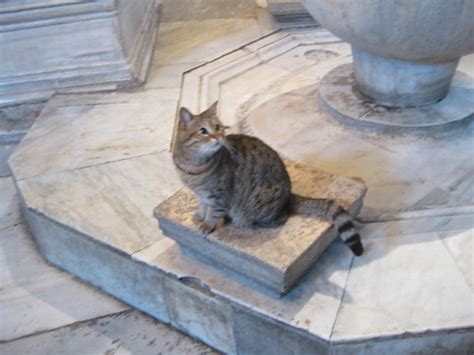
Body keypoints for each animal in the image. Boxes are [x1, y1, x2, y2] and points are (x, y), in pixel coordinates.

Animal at [173, 102, 362, 256]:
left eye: (218, 127)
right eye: (203, 131)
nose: (218, 137)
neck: (192, 166)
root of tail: (289, 196)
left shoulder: (219, 196)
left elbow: (213, 213)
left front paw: (207, 224)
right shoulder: (201, 195)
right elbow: (203, 206)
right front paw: (200, 216)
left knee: (280, 218)